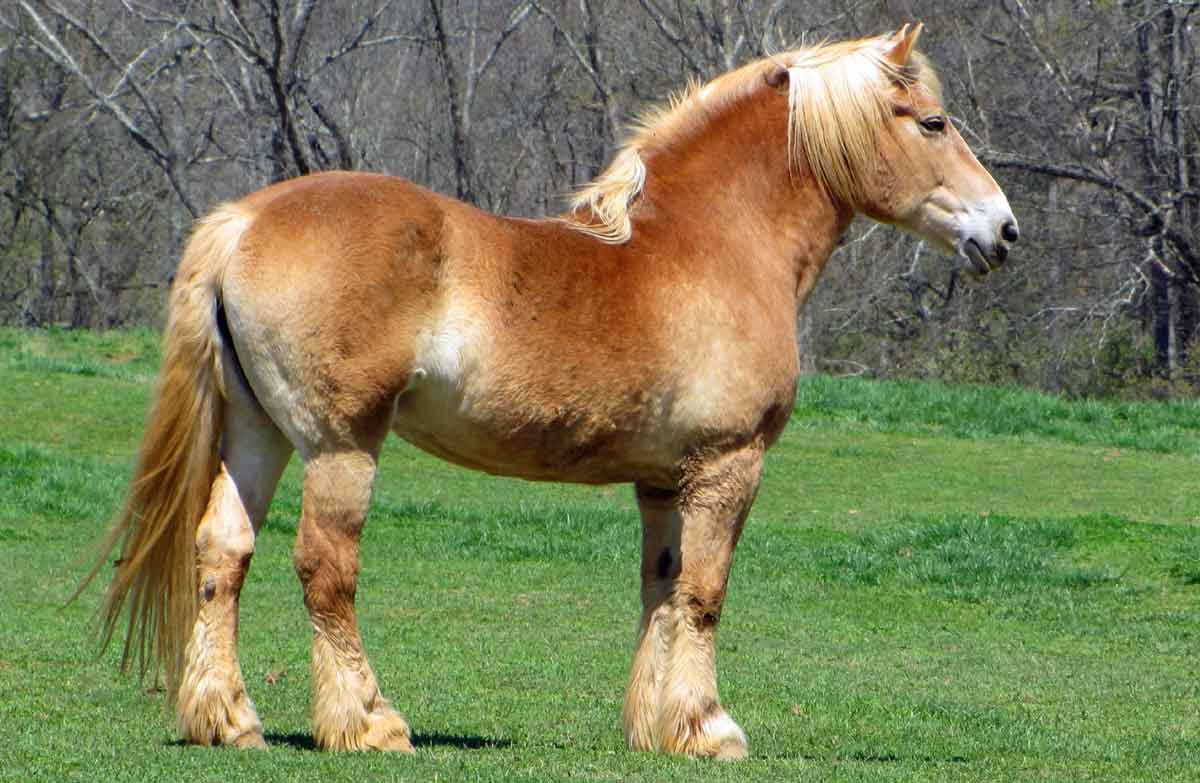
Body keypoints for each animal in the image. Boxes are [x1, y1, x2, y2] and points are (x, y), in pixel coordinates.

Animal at [86, 24, 1018, 759]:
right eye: (933, 122)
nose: (1003, 230)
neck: (712, 241)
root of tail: (243, 220)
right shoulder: (730, 465)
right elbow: (705, 593)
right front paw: (709, 726)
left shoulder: (663, 481)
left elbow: (661, 589)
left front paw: (657, 727)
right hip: (339, 444)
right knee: (326, 568)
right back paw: (369, 721)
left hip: (260, 433)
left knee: (223, 553)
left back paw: (228, 718)